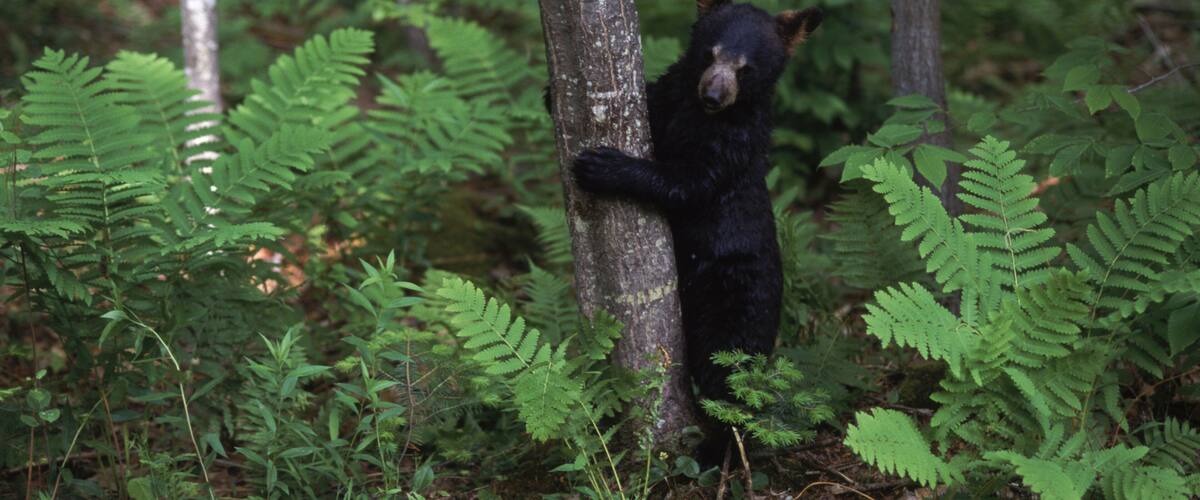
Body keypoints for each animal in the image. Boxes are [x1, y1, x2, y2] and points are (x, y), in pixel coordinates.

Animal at [571, 0, 823, 461]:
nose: (713, 97)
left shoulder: (731, 145)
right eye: (710, 52)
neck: (700, 115)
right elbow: (655, 101)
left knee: (729, 379)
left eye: (746, 67)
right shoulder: (672, 97)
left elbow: (686, 182)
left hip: (732, 305)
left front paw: (603, 166)